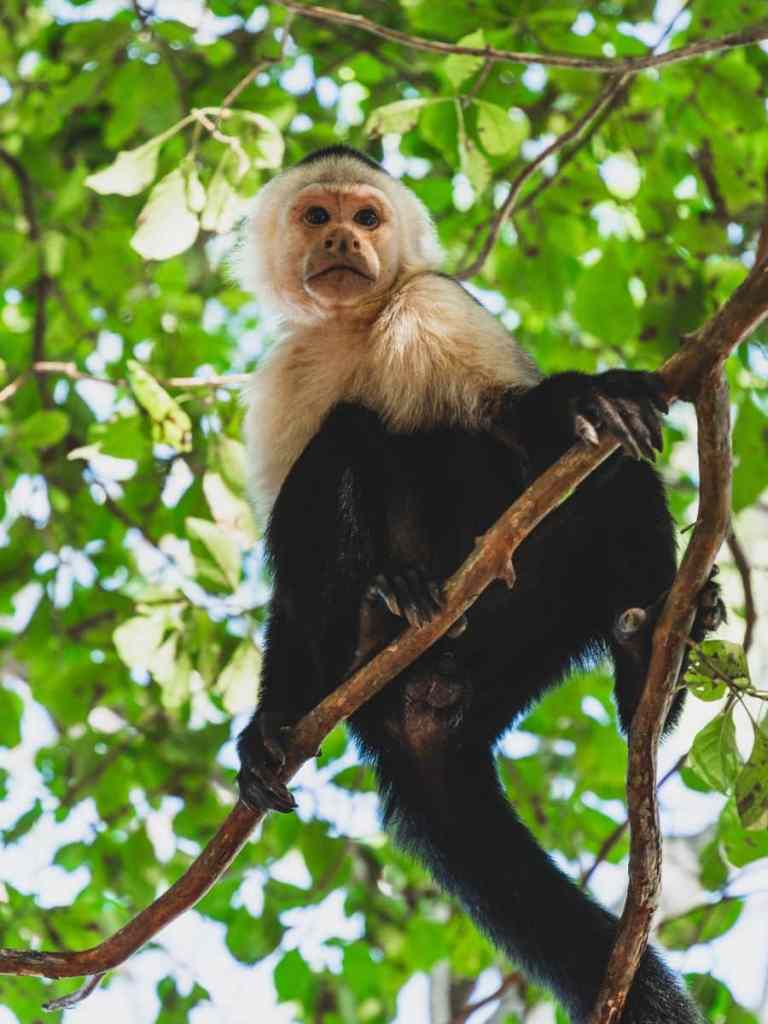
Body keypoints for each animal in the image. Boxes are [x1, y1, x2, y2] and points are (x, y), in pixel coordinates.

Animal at [233, 145, 724, 1023]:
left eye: (367, 218)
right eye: (317, 216)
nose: (343, 244)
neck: (356, 326)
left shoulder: (434, 305)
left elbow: (519, 423)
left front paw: (588, 398)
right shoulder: (285, 375)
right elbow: (287, 579)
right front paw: (269, 725)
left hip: (526, 635)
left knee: (591, 476)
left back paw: (647, 673)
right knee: (346, 443)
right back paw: (391, 604)